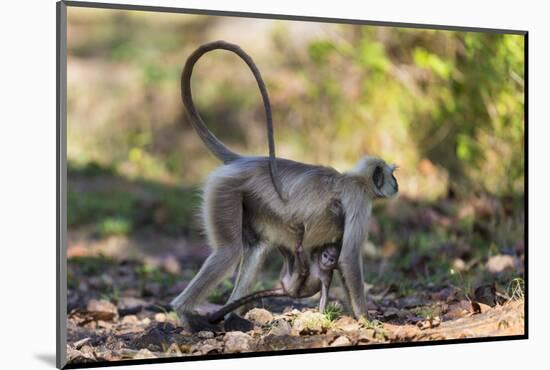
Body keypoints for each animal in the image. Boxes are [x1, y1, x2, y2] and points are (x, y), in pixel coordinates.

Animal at [170, 40, 398, 330]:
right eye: (392, 176)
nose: (397, 185)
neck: (354, 179)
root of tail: (245, 159)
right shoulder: (360, 199)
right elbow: (348, 257)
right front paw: (367, 320)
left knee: (255, 250)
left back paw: (231, 316)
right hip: (224, 189)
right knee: (230, 251)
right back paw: (186, 313)